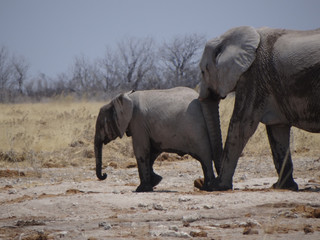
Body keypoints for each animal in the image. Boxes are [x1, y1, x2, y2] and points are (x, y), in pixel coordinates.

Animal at [199, 26, 318, 191]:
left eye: (203, 71)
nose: (203, 183)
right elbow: (277, 131)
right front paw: (283, 187)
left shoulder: (253, 75)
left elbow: (240, 126)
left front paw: (219, 186)